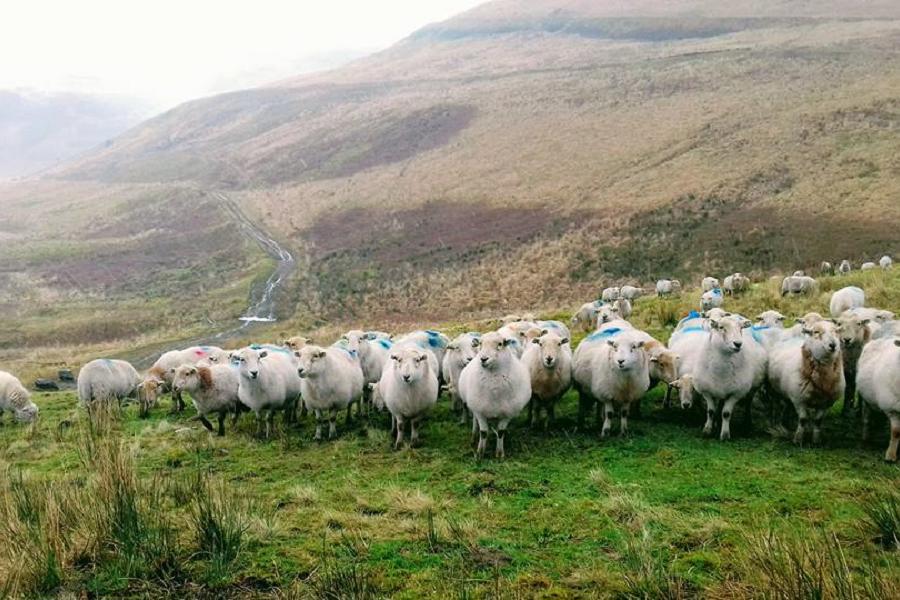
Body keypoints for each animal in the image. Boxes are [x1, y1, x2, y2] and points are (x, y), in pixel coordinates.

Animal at [460, 330, 532, 458]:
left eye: (500, 344)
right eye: (481, 344)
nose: (483, 359)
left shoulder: (507, 413)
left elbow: (501, 432)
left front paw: (499, 454)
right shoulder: (480, 411)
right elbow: (483, 432)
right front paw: (480, 453)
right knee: (475, 422)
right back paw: (473, 437)